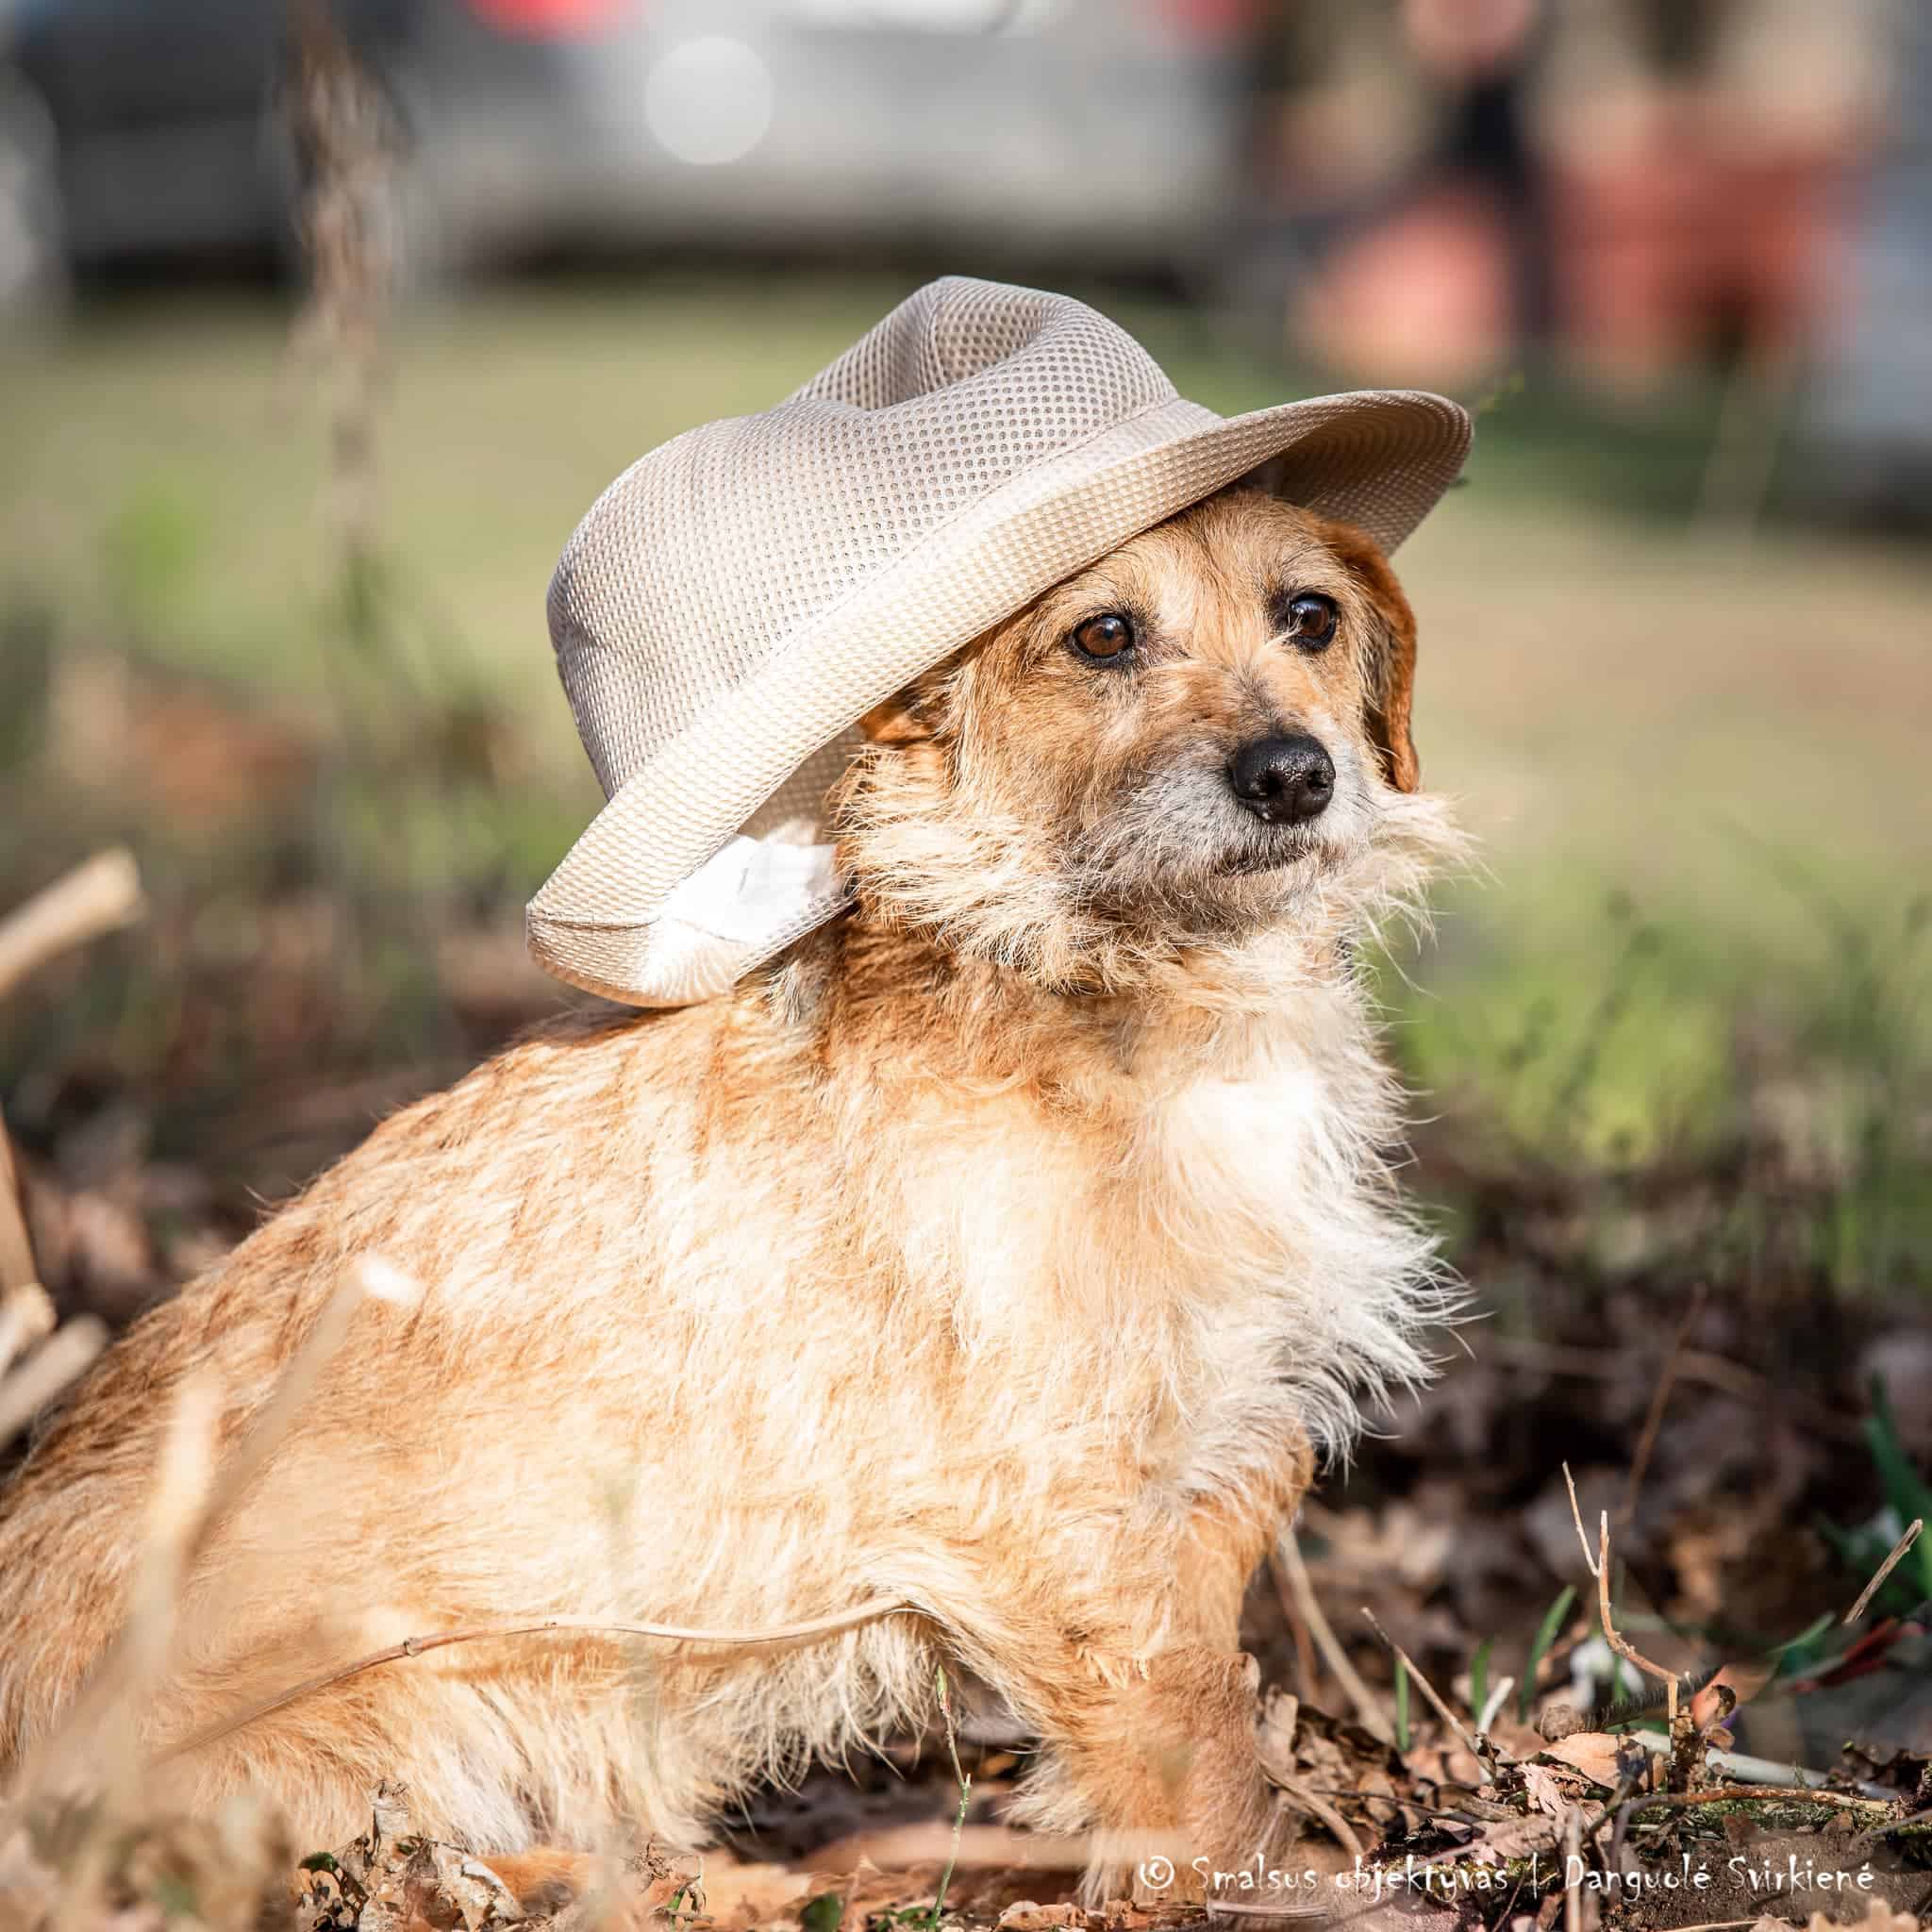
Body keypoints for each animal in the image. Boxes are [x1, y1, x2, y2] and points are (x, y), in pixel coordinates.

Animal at [0, 484, 1458, 1899]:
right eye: (1103, 634)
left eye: (1310, 616)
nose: (1294, 775)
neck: (1118, 984)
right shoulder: (1054, 1516)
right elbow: (1192, 1757)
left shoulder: (1223, 1447)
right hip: (408, 1695)